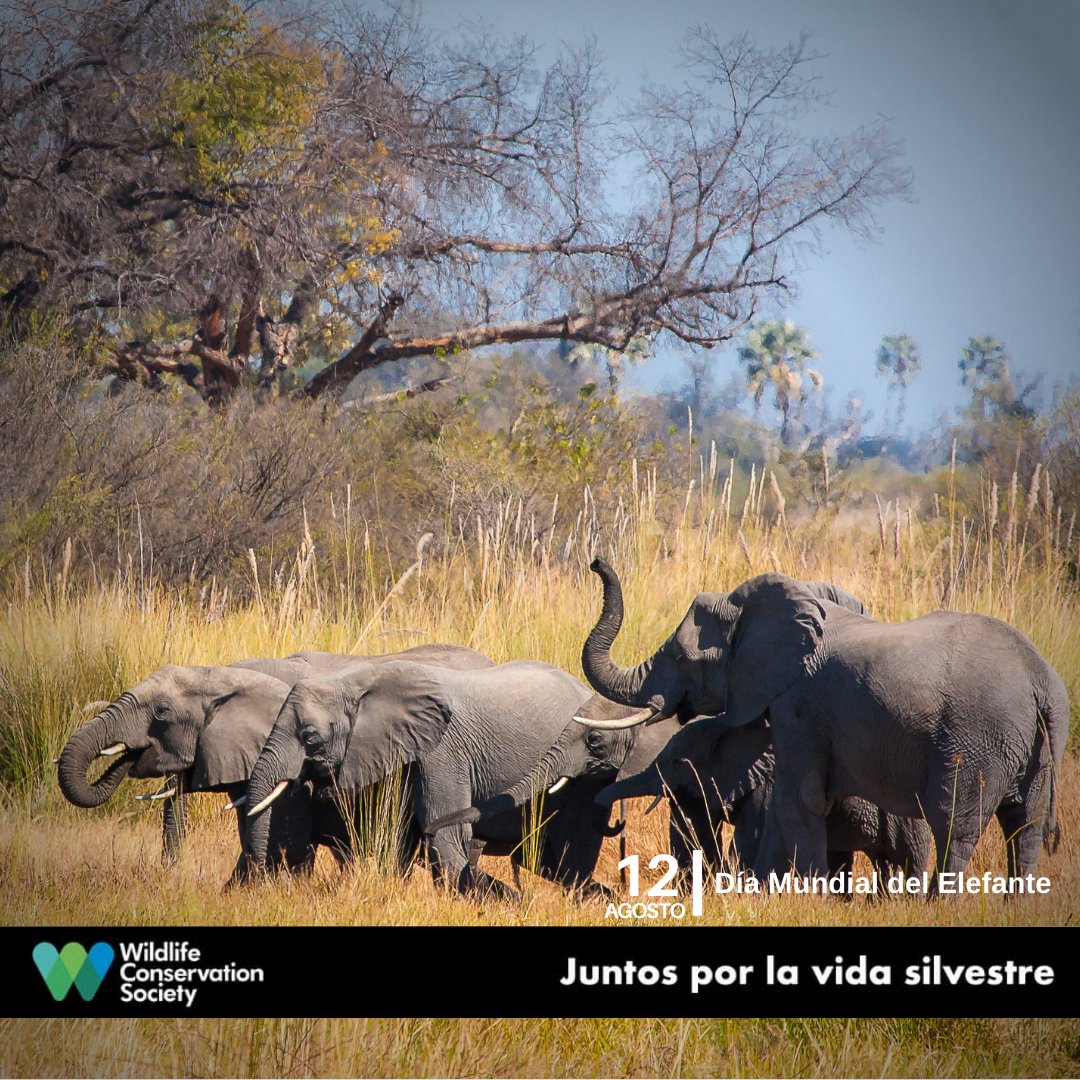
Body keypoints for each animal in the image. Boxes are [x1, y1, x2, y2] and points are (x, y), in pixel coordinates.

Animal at [242, 659, 624, 898]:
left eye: (309, 736)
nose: (269, 882)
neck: (355, 679)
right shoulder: (401, 754)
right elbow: (397, 837)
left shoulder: (442, 752)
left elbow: (444, 835)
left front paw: (513, 901)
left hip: (588, 776)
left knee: (570, 856)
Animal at [582, 569, 1069, 884]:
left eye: (682, 658)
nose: (595, 563)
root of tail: (1041, 681)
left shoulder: (799, 704)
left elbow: (799, 800)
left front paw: (804, 896)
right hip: (1033, 746)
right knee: (1024, 827)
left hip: (976, 738)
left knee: (956, 825)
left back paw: (937, 905)